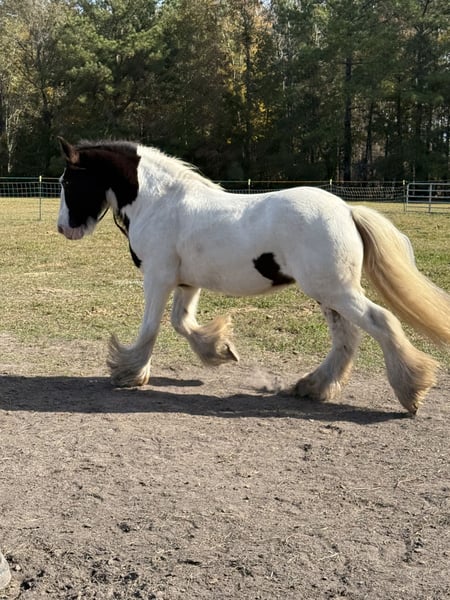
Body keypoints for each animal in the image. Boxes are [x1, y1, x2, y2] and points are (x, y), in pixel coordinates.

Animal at [56, 137, 450, 414]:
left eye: (68, 182)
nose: (64, 229)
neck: (161, 203)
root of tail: (347, 210)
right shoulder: (187, 283)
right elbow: (182, 323)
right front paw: (220, 351)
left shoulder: (158, 277)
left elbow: (151, 327)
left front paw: (129, 372)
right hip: (330, 294)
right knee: (346, 339)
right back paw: (313, 386)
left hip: (336, 291)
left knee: (381, 322)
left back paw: (411, 390)